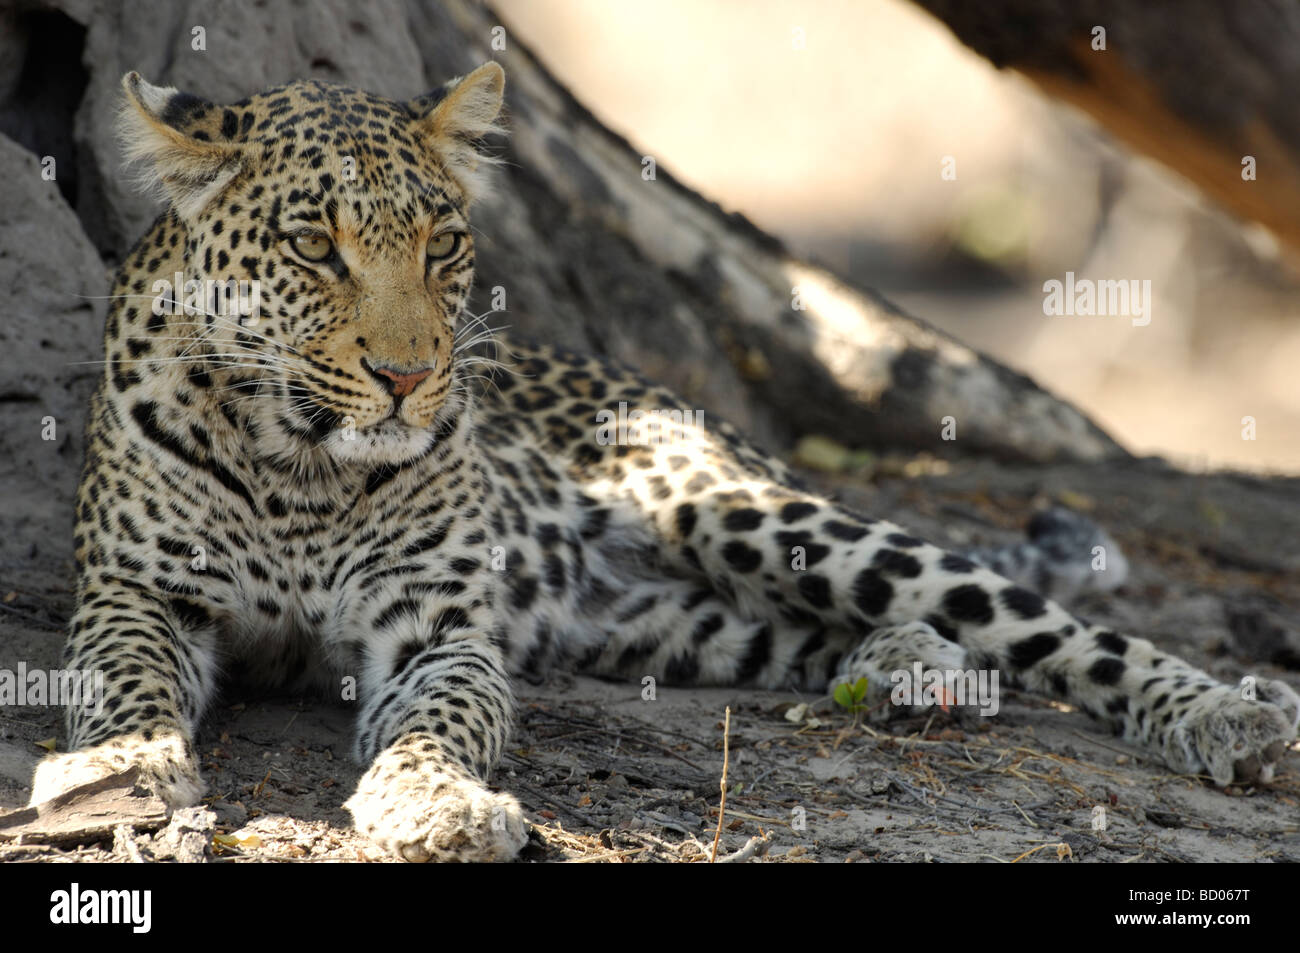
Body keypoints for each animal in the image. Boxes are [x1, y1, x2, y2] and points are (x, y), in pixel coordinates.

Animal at [27, 63, 1289, 858]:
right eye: (311, 246)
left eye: (442, 244)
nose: (409, 375)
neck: (300, 463)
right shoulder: (134, 593)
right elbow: (124, 682)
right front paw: (120, 769)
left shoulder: (440, 623)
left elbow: (441, 714)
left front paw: (438, 805)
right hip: (659, 625)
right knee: (810, 633)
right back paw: (910, 669)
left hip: (737, 509)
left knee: (1045, 623)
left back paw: (1224, 710)